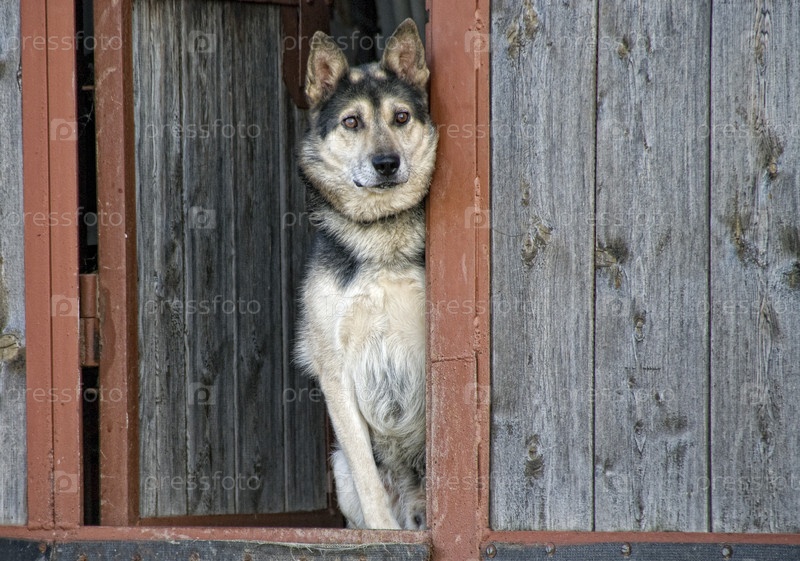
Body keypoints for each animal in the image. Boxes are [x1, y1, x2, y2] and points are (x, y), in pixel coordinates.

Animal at [294, 18, 438, 528]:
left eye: (401, 117)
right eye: (351, 122)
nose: (386, 164)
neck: (381, 232)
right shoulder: (334, 367)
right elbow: (368, 477)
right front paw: (383, 535)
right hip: (338, 469)